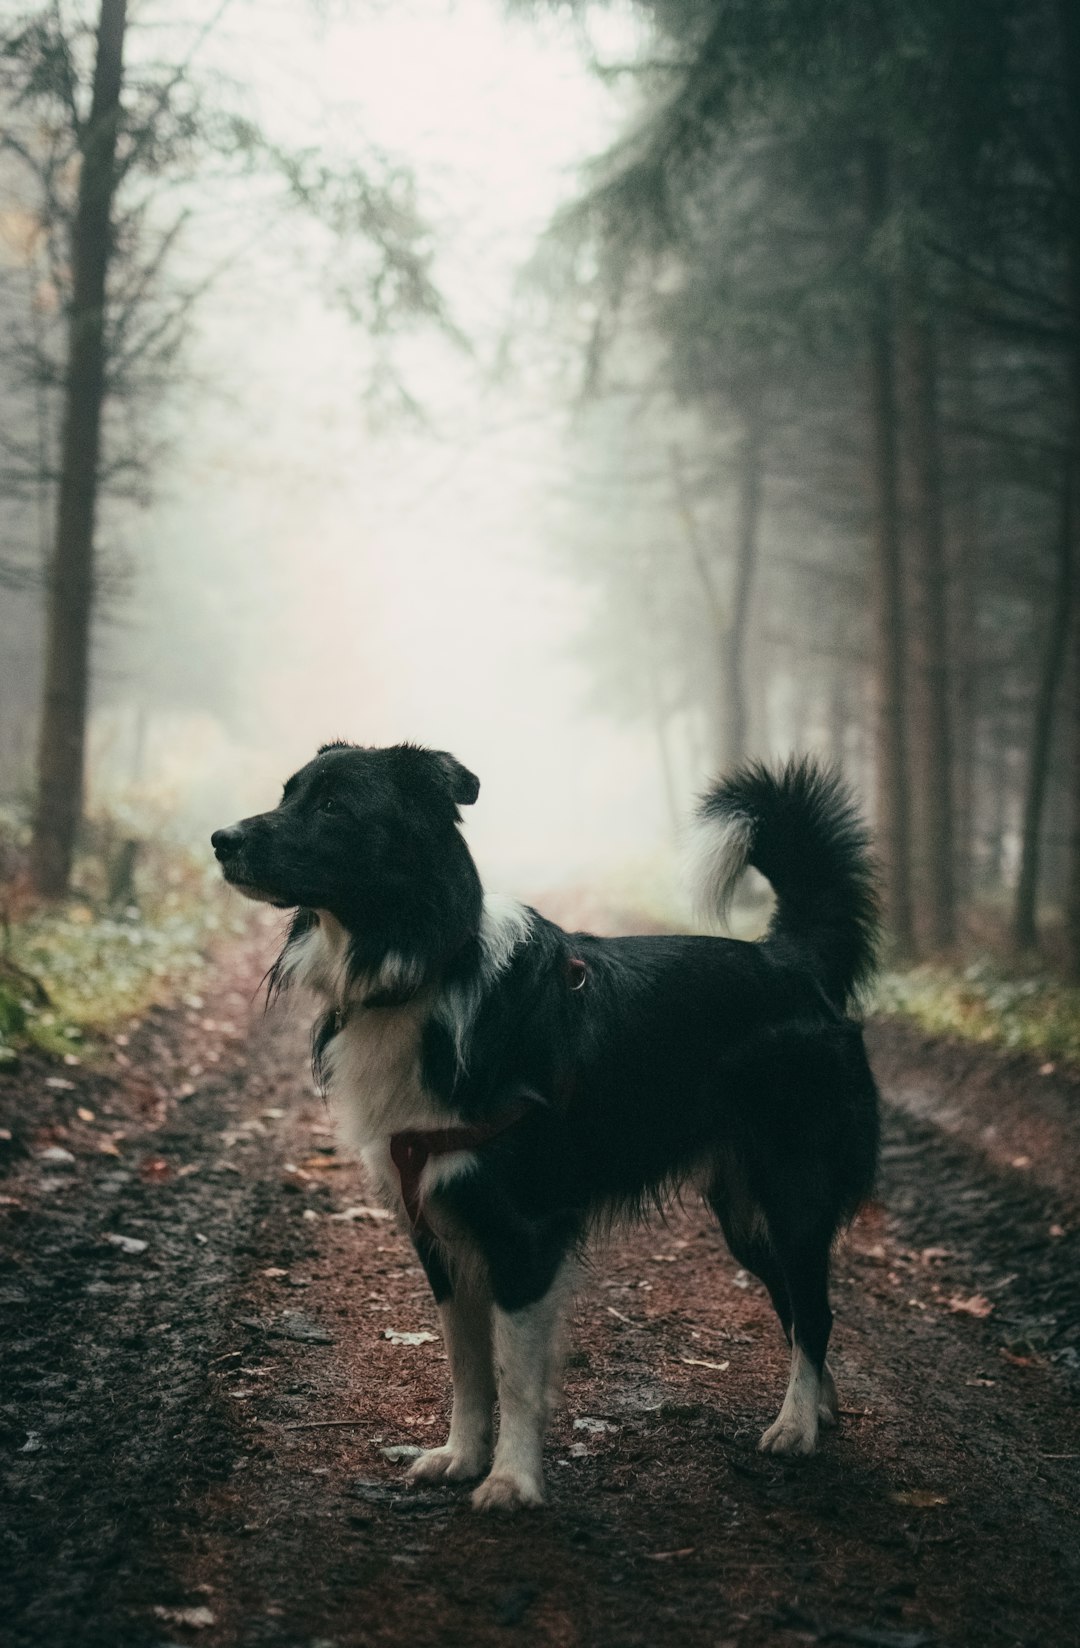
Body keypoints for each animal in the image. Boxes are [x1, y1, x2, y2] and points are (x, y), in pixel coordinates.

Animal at [211, 741, 877, 1509]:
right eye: (287, 794)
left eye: (332, 806)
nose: (220, 839)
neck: (427, 968)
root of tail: (791, 962)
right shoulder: (437, 1228)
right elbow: (467, 1365)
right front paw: (461, 1456)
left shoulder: (523, 1231)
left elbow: (514, 1374)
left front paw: (512, 1479)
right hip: (743, 1212)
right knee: (799, 1306)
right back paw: (821, 1409)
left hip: (794, 1189)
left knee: (816, 1311)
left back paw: (796, 1425)